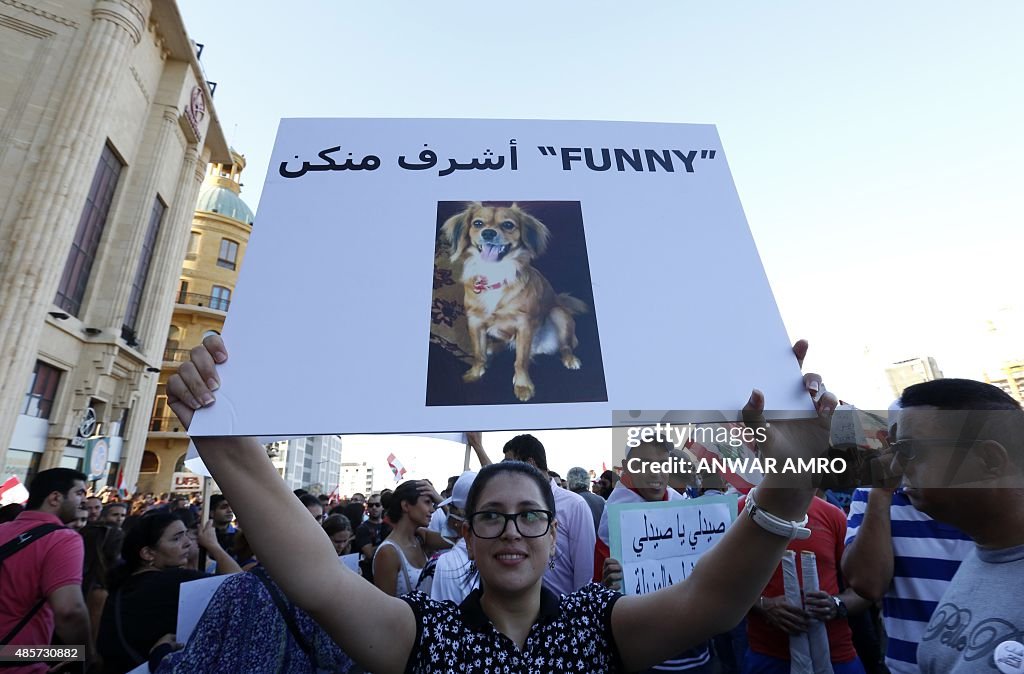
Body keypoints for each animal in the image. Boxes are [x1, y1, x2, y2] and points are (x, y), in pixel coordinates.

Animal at [438, 199, 585, 399]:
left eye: (508, 225)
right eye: (478, 223)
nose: (488, 233)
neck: (494, 273)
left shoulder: (524, 325)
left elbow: (520, 361)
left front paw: (523, 386)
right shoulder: (475, 322)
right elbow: (478, 354)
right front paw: (475, 373)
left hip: (558, 314)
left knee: (565, 346)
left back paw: (570, 359)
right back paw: (492, 348)